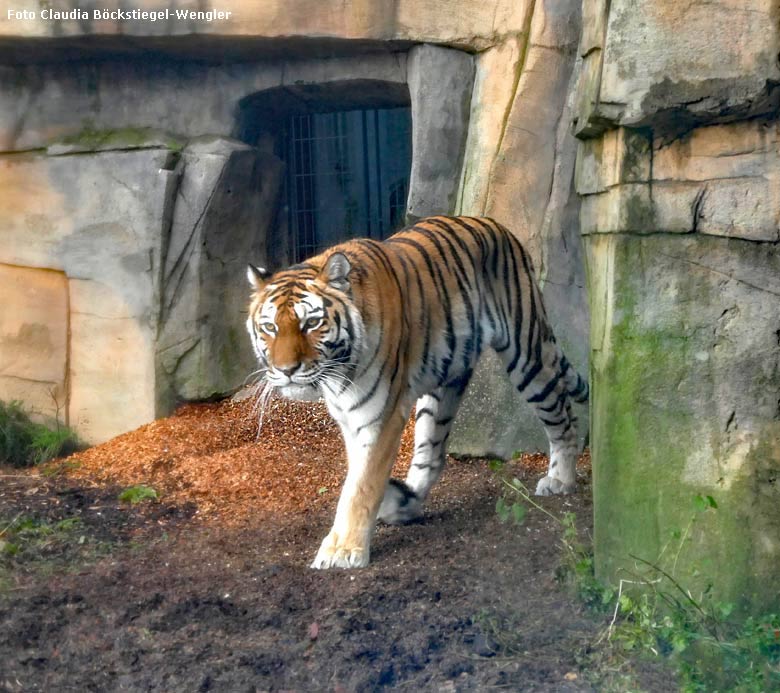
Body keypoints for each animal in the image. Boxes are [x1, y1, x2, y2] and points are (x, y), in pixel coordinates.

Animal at [247, 215, 588, 568]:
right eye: (270, 327)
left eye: (311, 324)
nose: (287, 370)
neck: (338, 374)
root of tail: (498, 226)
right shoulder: (350, 419)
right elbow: (358, 477)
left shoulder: (380, 417)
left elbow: (361, 486)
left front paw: (343, 551)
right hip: (441, 389)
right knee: (432, 454)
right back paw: (404, 502)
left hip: (528, 355)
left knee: (564, 418)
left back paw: (561, 479)